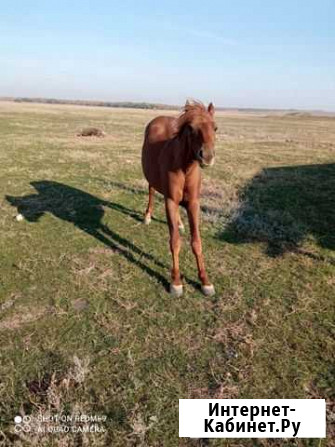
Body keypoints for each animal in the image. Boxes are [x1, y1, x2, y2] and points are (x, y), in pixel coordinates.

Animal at [142, 101, 218, 298]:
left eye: (215, 127)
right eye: (191, 128)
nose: (207, 156)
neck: (185, 167)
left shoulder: (193, 204)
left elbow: (196, 242)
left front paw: (205, 281)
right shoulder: (170, 201)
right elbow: (175, 242)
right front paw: (176, 282)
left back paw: (180, 223)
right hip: (152, 180)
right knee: (151, 191)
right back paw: (147, 216)